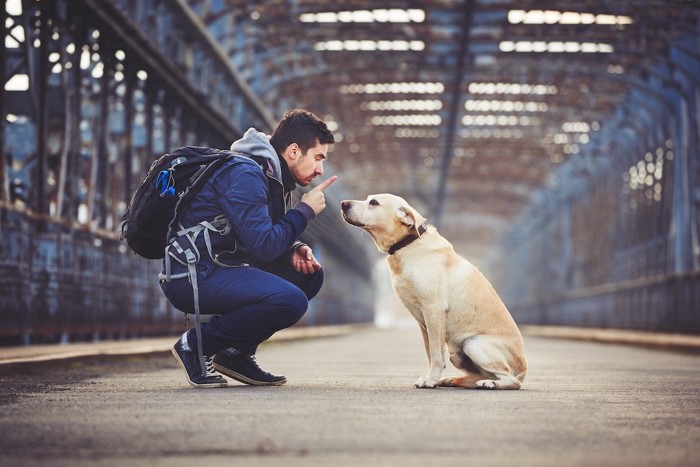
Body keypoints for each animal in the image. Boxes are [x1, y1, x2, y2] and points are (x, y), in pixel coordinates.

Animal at [342, 195, 528, 392]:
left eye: (374, 203)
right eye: (368, 199)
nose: (343, 204)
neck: (409, 245)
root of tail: (524, 369)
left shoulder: (433, 310)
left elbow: (435, 354)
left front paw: (430, 380)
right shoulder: (424, 322)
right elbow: (431, 352)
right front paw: (432, 378)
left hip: (474, 343)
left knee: (511, 380)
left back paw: (490, 384)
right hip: (457, 353)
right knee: (482, 374)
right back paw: (453, 380)